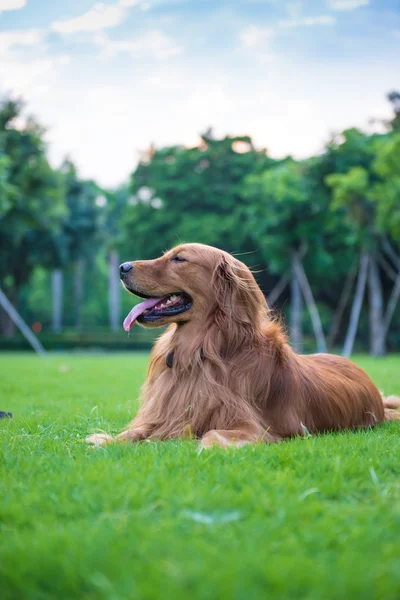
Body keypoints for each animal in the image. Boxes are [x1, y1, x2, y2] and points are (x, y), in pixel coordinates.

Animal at [85, 241, 400, 448]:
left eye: (180, 259)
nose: (122, 266)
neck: (202, 351)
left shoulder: (255, 427)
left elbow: (211, 435)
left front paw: (203, 445)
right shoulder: (165, 413)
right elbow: (135, 432)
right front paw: (105, 439)